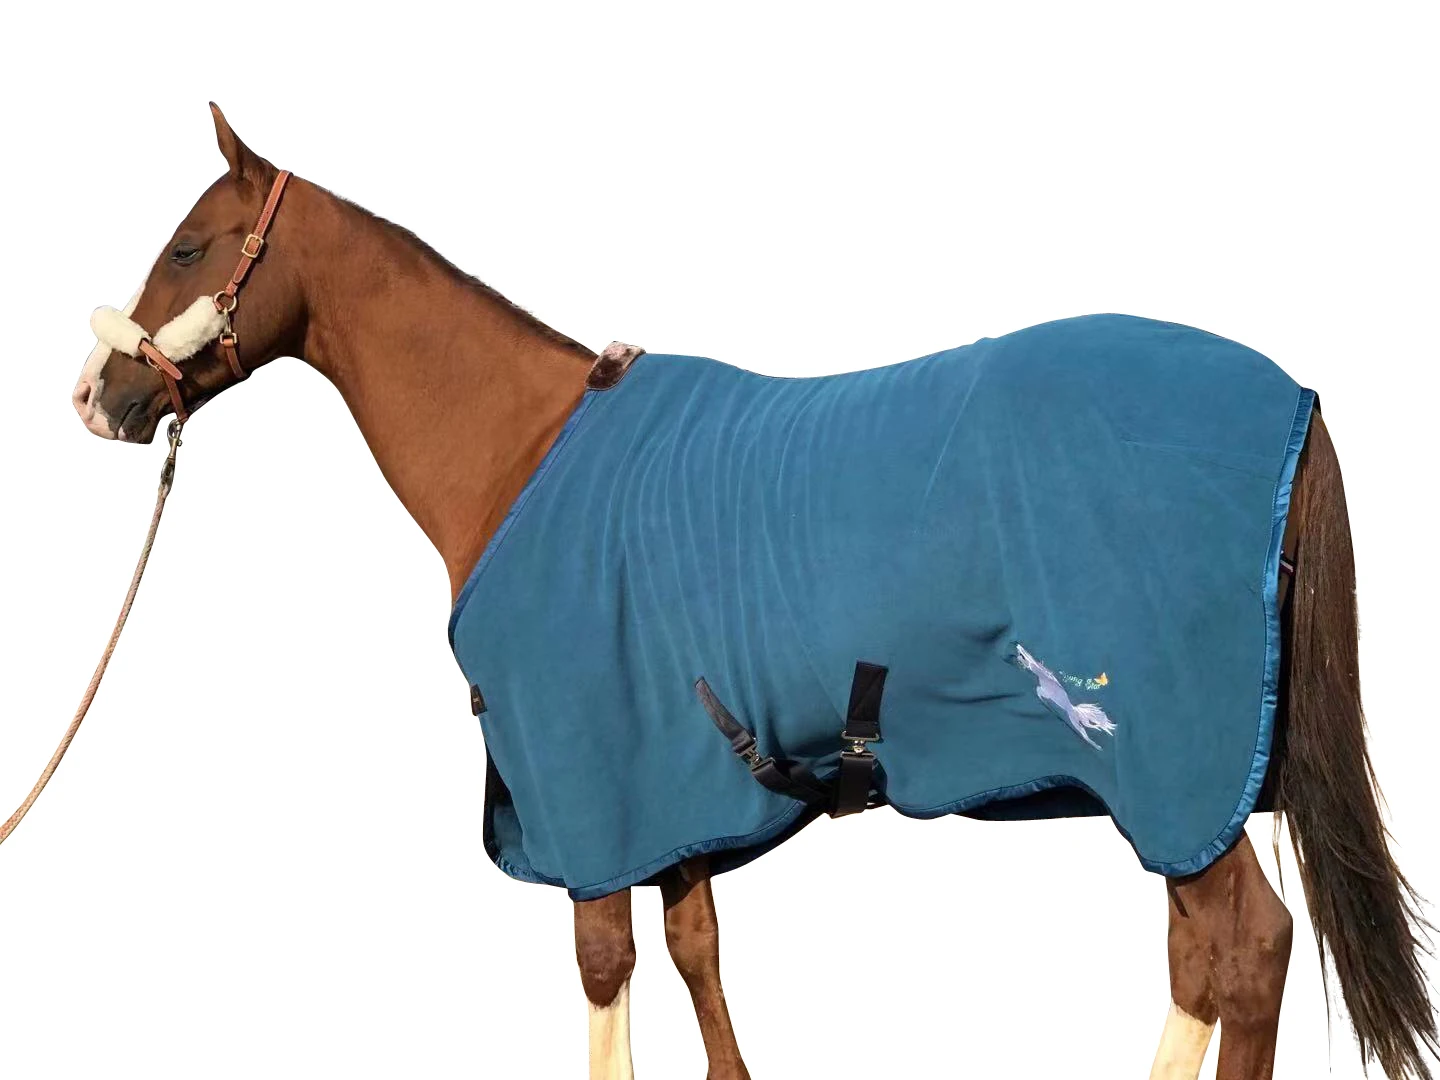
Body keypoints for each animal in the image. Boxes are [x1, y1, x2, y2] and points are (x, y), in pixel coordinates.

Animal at [68, 103, 1436, 1080]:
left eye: (187, 245)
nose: (96, 397)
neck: (522, 449)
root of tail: (1291, 399)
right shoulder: (672, 785)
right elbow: (697, 956)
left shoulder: (587, 785)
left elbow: (606, 970)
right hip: (1172, 791)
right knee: (1198, 959)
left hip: (1164, 768)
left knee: (1246, 951)